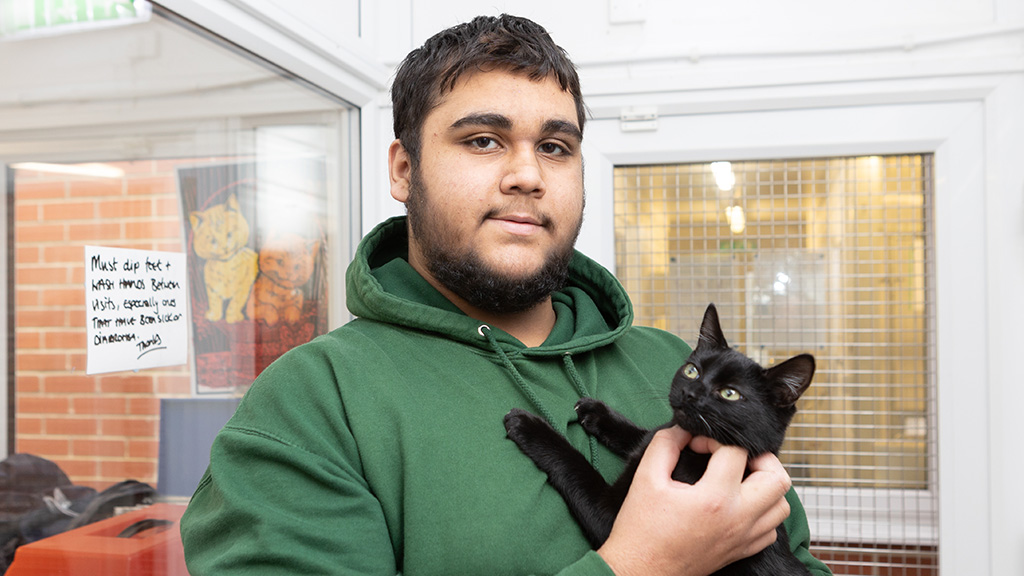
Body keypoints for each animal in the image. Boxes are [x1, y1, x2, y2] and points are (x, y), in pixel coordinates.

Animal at [503, 303, 815, 569]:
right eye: (692, 371)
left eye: (730, 393)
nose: (689, 393)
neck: (695, 449)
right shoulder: (655, 437)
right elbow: (641, 434)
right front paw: (596, 412)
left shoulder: (612, 517)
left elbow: (576, 466)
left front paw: (530, 426)